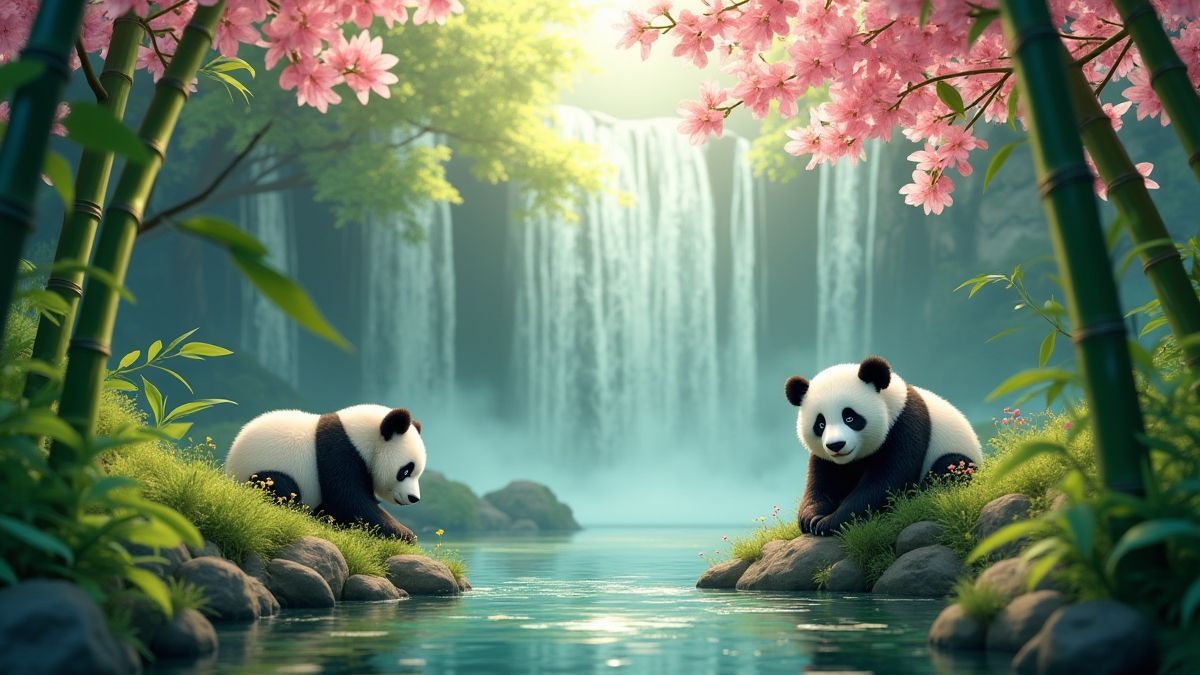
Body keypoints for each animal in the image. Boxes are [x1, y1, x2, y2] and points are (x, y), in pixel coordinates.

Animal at [225, 404, 427, 543]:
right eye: (406, 470)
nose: (413, 498)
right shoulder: (338, 453)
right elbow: (349, 500)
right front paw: (405, 534)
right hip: (262, 471)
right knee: (281, 486)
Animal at [785, 356, 982, 537]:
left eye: (850, 417)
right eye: (820, 424)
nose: (836, 445)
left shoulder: (903, 426)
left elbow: (885, 482)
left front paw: (828, 522)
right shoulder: (827, 458)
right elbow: (823, 482)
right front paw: (811, 518)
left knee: (949, 466)